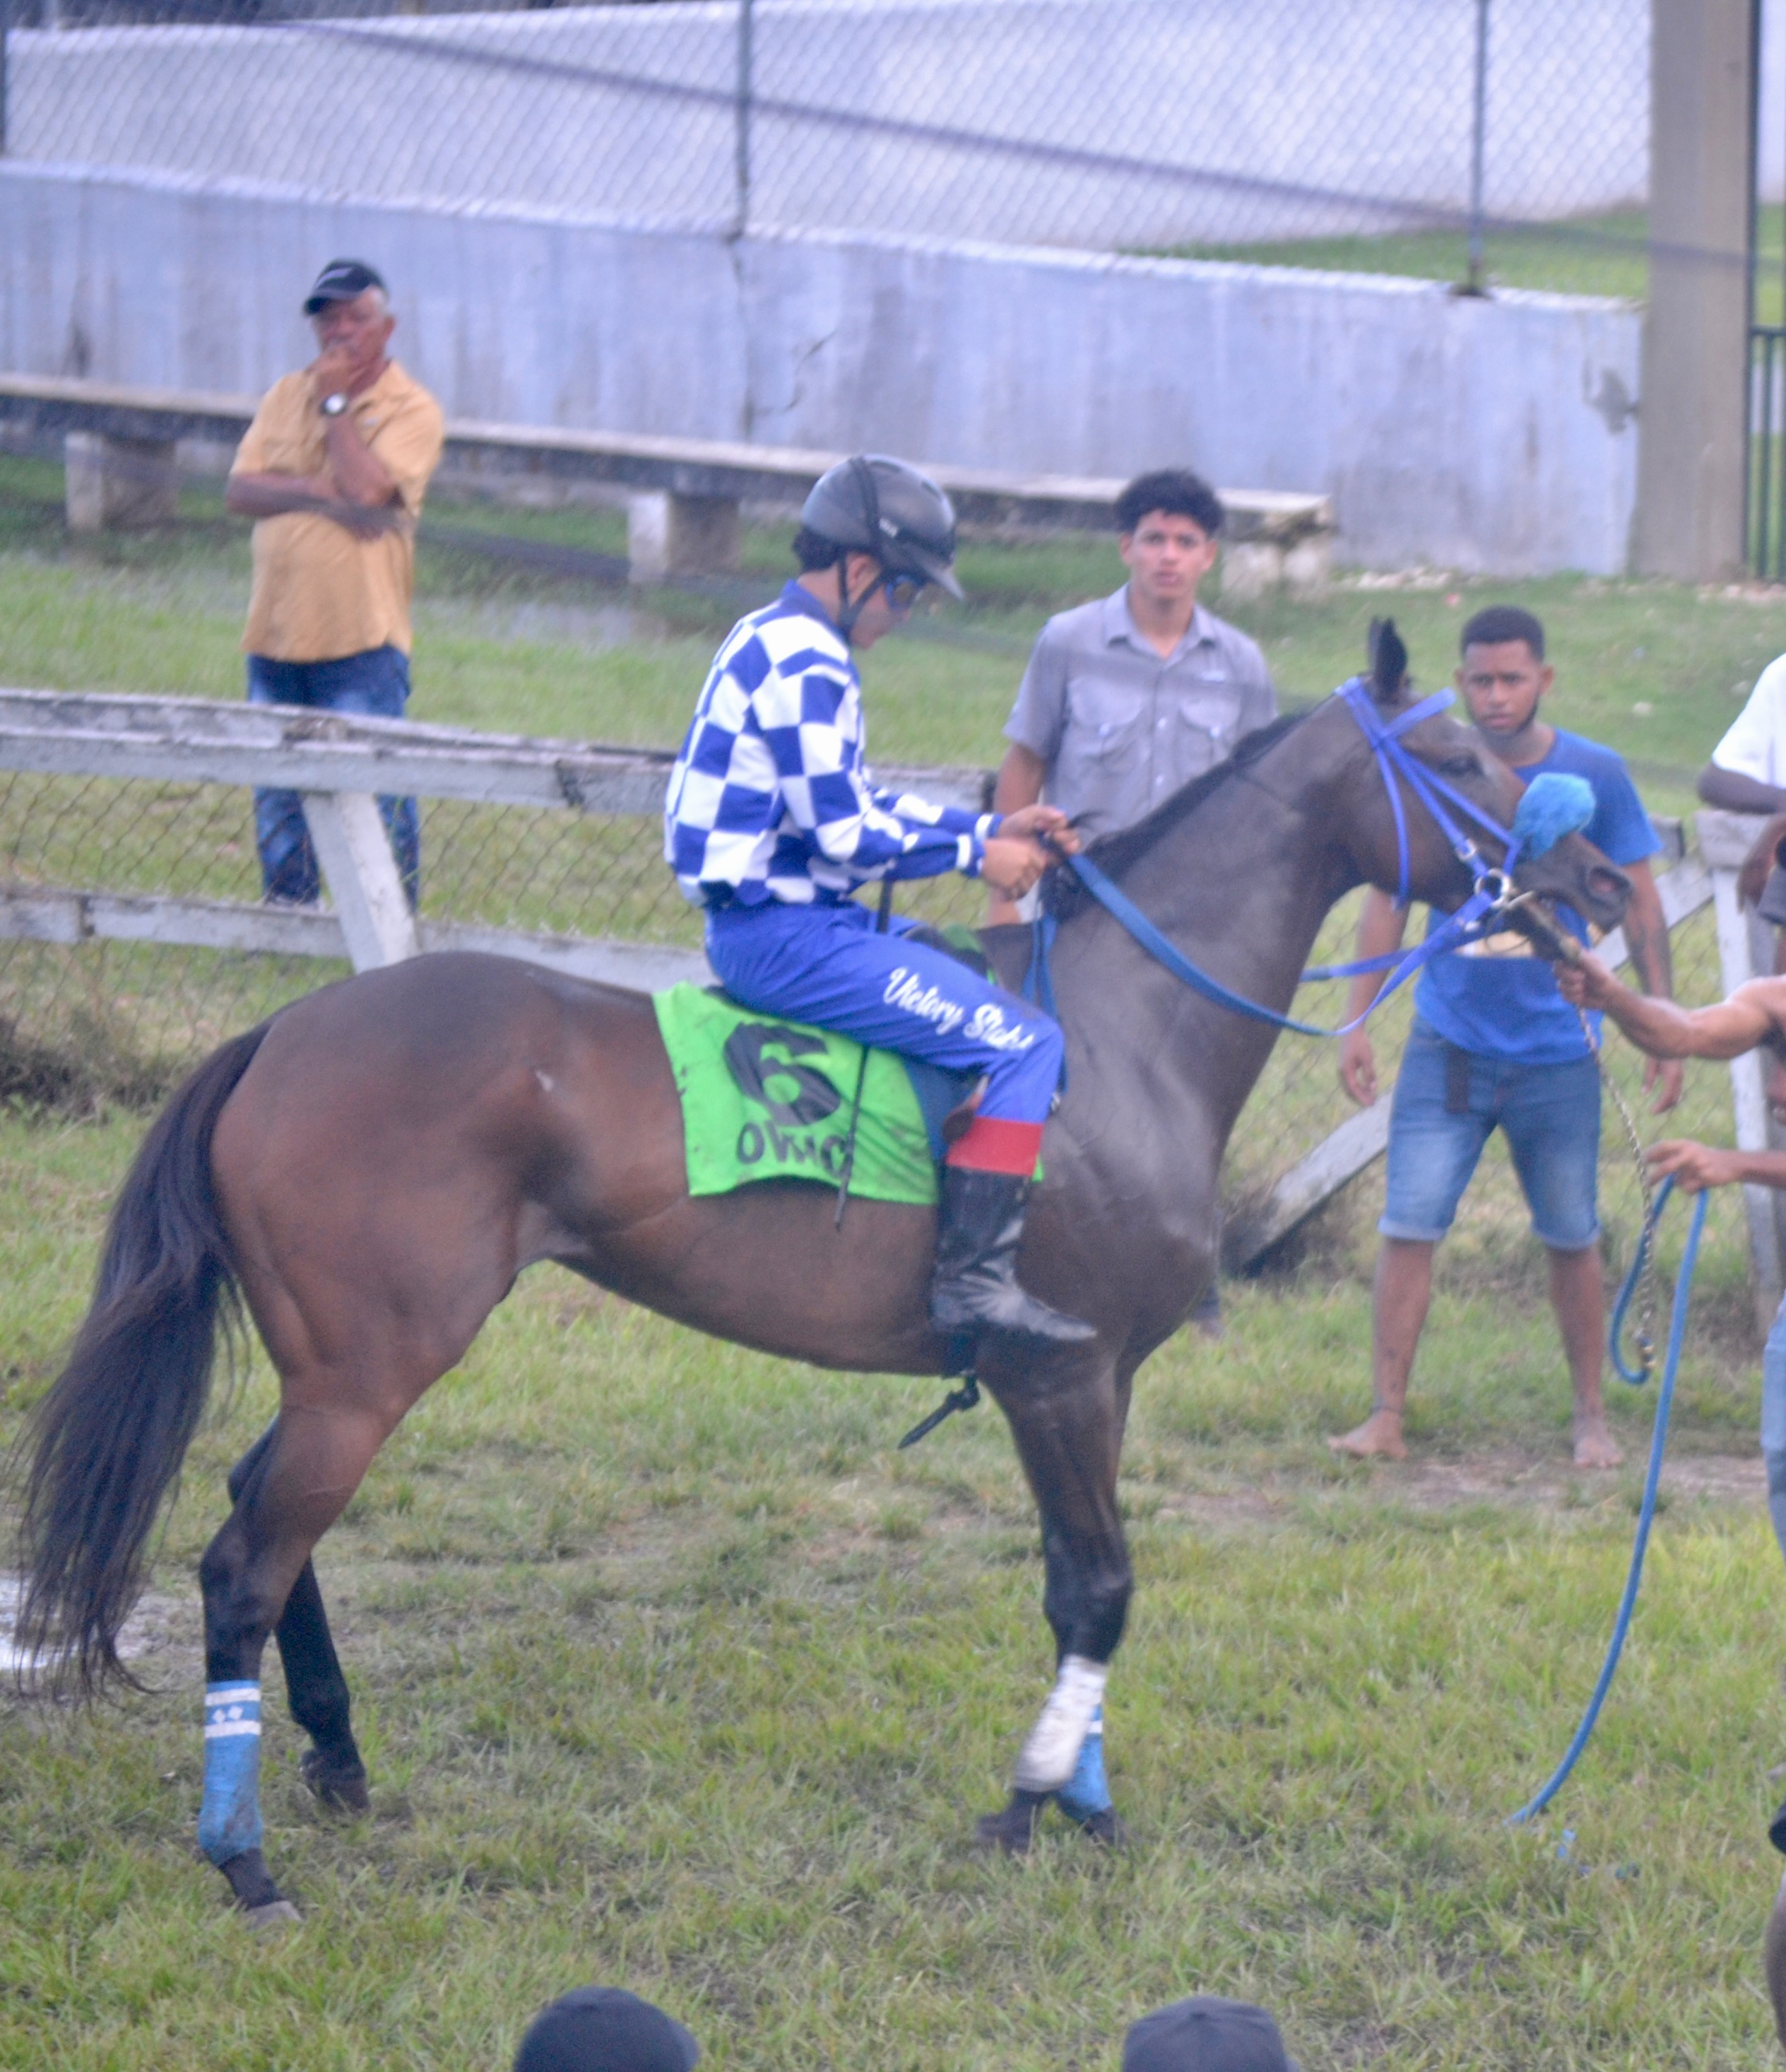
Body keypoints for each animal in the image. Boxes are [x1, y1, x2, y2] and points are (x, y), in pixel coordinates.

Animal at [17, 642, 1632, 1906]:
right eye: (1469, 752)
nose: (1604, 872)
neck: (1121, 1040)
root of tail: (280, 1034)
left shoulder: (1089, 1384)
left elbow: (1083, 1585)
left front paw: (1086, 1798)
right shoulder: (1058, 1372)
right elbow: (1100, 1588)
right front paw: (1031, 1798)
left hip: (335, 1373)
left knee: (266, 1531)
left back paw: (341, 1762)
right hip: (367, 1372)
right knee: (242, 1561)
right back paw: (243, 1856)